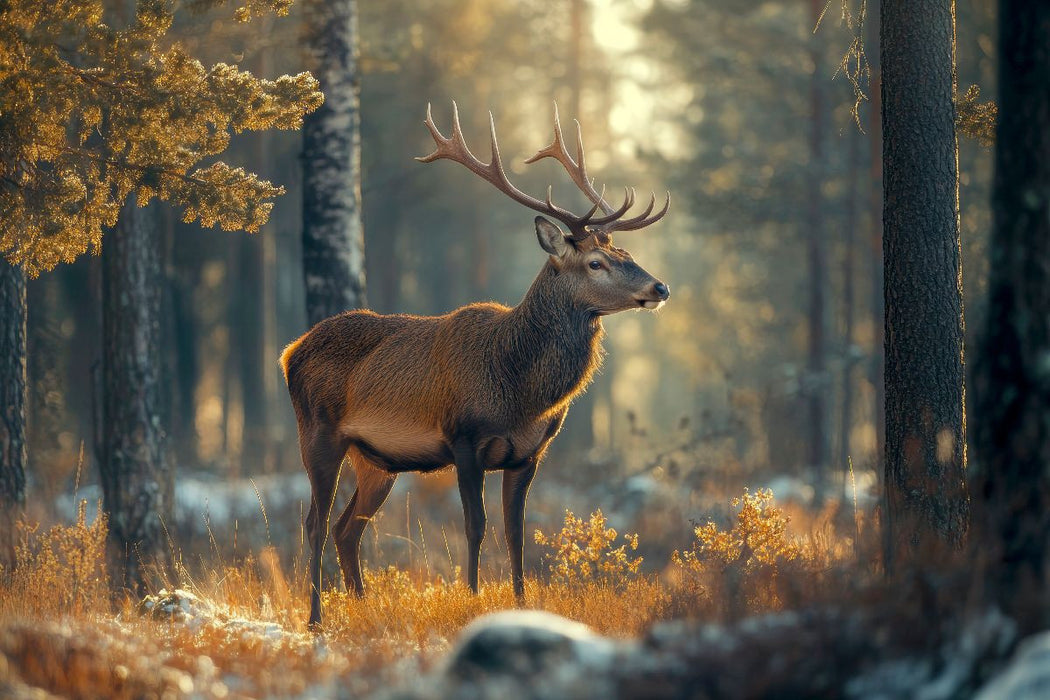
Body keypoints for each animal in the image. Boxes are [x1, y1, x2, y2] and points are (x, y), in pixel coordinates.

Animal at [281, 102, 670, 628]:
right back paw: (316, 617)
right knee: (315, 522)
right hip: (318, 432)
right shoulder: (463, 438)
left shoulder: (529, 453)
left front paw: (522, 604)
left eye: (626, 252)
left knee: (348, 528)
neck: (520, 389)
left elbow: (515, 532)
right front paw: (471, 597)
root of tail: (289, 351)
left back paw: (361, 606)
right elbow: (475, 526)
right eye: (595, 262)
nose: (659, 287)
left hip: (377, 461)